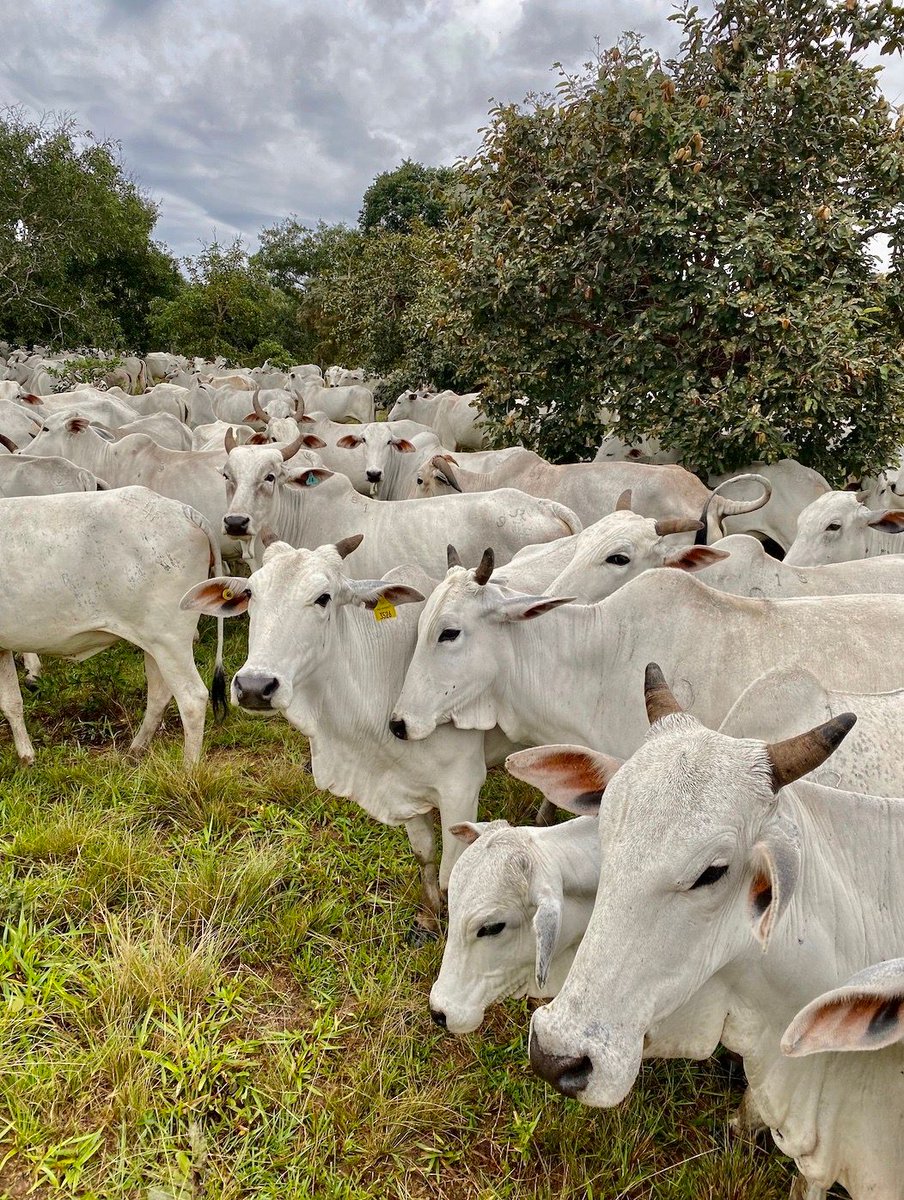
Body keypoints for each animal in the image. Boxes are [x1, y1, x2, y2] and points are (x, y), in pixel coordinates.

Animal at [0, 487, 225, 765]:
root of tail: (184, 510)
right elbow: (11, 702)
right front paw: (26, 756)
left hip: (170, 640)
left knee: (192, 698)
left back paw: (188, 769)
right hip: (154, 644)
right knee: (159, 695)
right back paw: (135, 749)